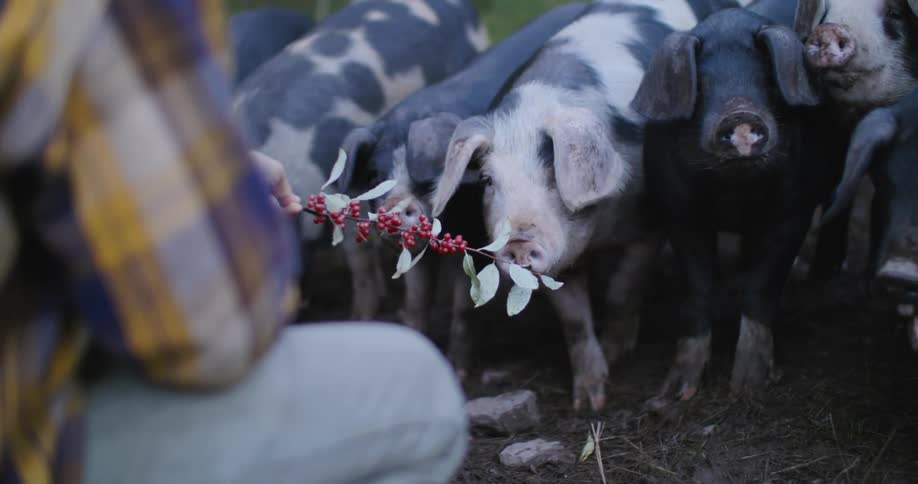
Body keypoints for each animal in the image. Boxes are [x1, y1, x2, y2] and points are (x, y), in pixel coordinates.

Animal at [336, 2, 590, 372]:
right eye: (374, 176)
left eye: (428, 179)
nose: (396, 205)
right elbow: (416, 300)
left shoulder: (476, 237)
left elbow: (464, 309)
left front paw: (458, 369)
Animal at [429, 1, 744, 412]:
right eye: (487, 180)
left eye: (554, 173)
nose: (519, 243)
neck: (599, 230)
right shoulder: (559, 258)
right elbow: (574, 320)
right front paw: (588, 401)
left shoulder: (650, 222)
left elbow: (623, 290)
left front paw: (614, 357)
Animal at [630, 8, 832, 405]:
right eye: (703, 86)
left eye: (767, 82)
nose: (741, 117)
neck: (734, 192)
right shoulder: (679, 212)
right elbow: (697, 290)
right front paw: (677, 393)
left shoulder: (793, 209)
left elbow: (762, 289)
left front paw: (749, 388)